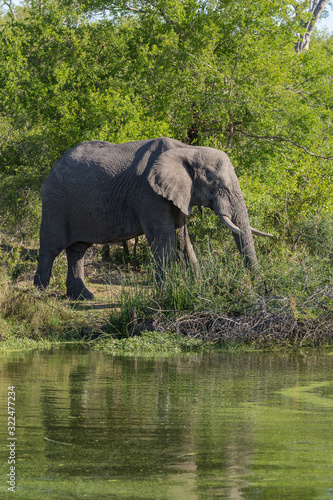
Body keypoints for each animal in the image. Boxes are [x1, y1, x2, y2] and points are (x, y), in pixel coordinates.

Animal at [33, 137, 272, 298]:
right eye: (215, 182)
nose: (263, 290)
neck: (188, 150)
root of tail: (52, 168)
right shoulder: (149, 193)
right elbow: (164, 237)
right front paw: (165, 292)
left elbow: (182, 238)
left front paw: (196, 287)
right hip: (56, 202)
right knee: (51, 247)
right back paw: (40, 294)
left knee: (78, 249)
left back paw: (84, 297)